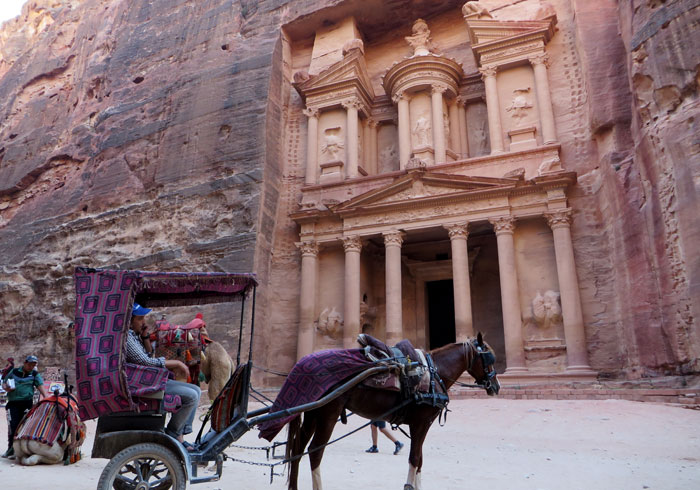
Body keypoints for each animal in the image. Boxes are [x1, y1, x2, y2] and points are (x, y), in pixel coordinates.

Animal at [284, 334, 498, 490]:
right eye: (489, 358)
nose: (495, 386)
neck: (434, 372)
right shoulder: (421, 422)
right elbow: (415, 458)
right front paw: (409, 486)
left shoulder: (420, 424)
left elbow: (419, 458)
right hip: (328, 413)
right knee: (314, 451)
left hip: (313, 413)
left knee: (298, 448)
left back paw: (293, 487)